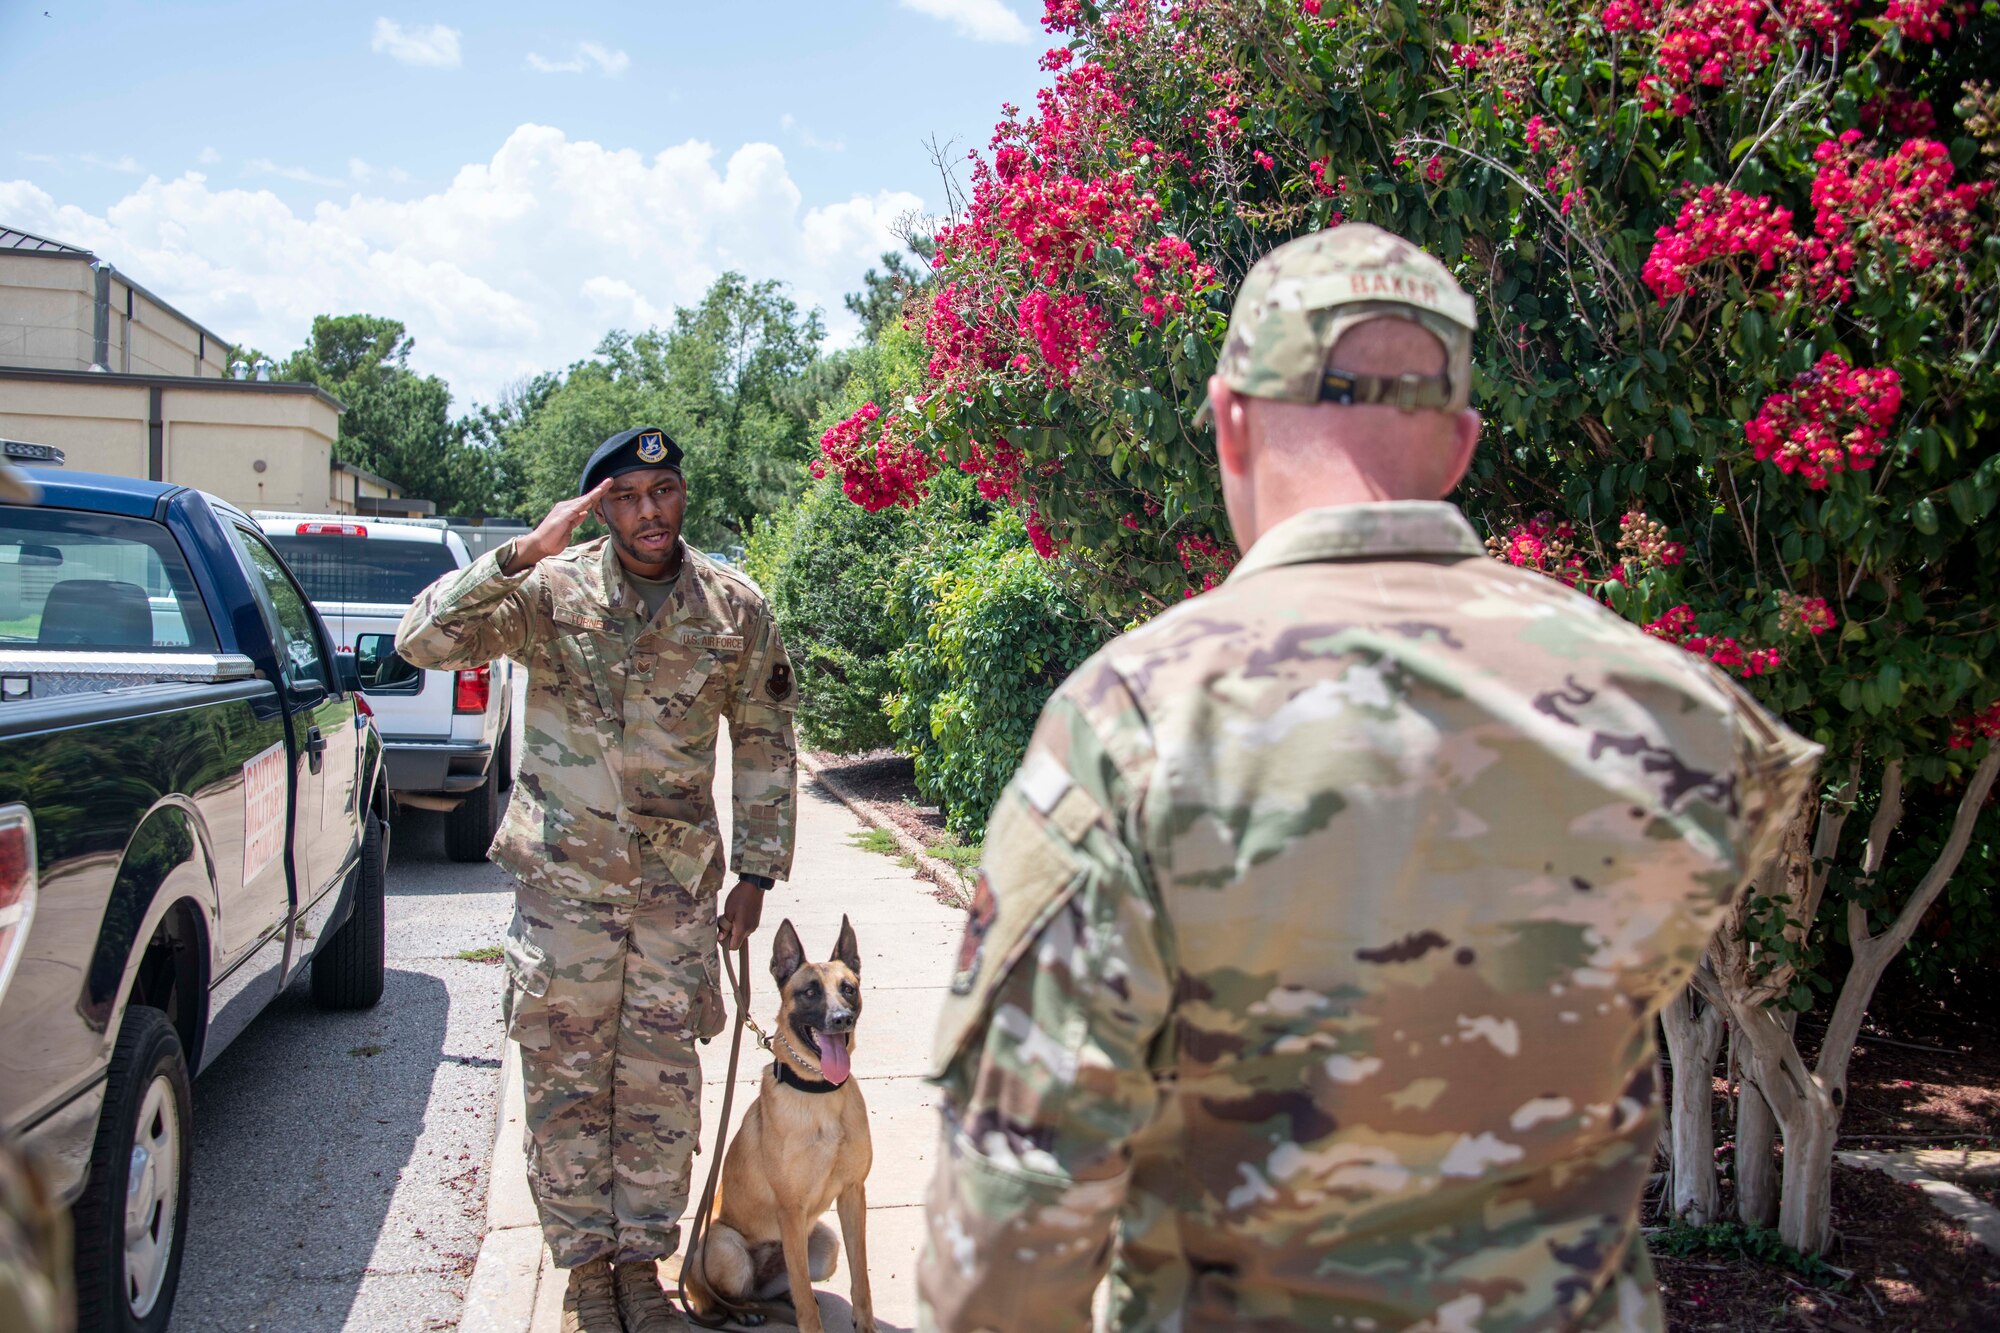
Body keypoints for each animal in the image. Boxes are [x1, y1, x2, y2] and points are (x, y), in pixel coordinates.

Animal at [688, 912, 876, 1328]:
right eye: (809, 992)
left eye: (848, 988)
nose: (841, 1019)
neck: (819, 1094)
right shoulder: (790, 1209)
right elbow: (807, 1302)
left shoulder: (853, 1193)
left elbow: (860, 1279)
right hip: (726, 1248)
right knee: (718, 1297)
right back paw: (741, 1312)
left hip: (824, 1244)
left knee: (790, 1281)